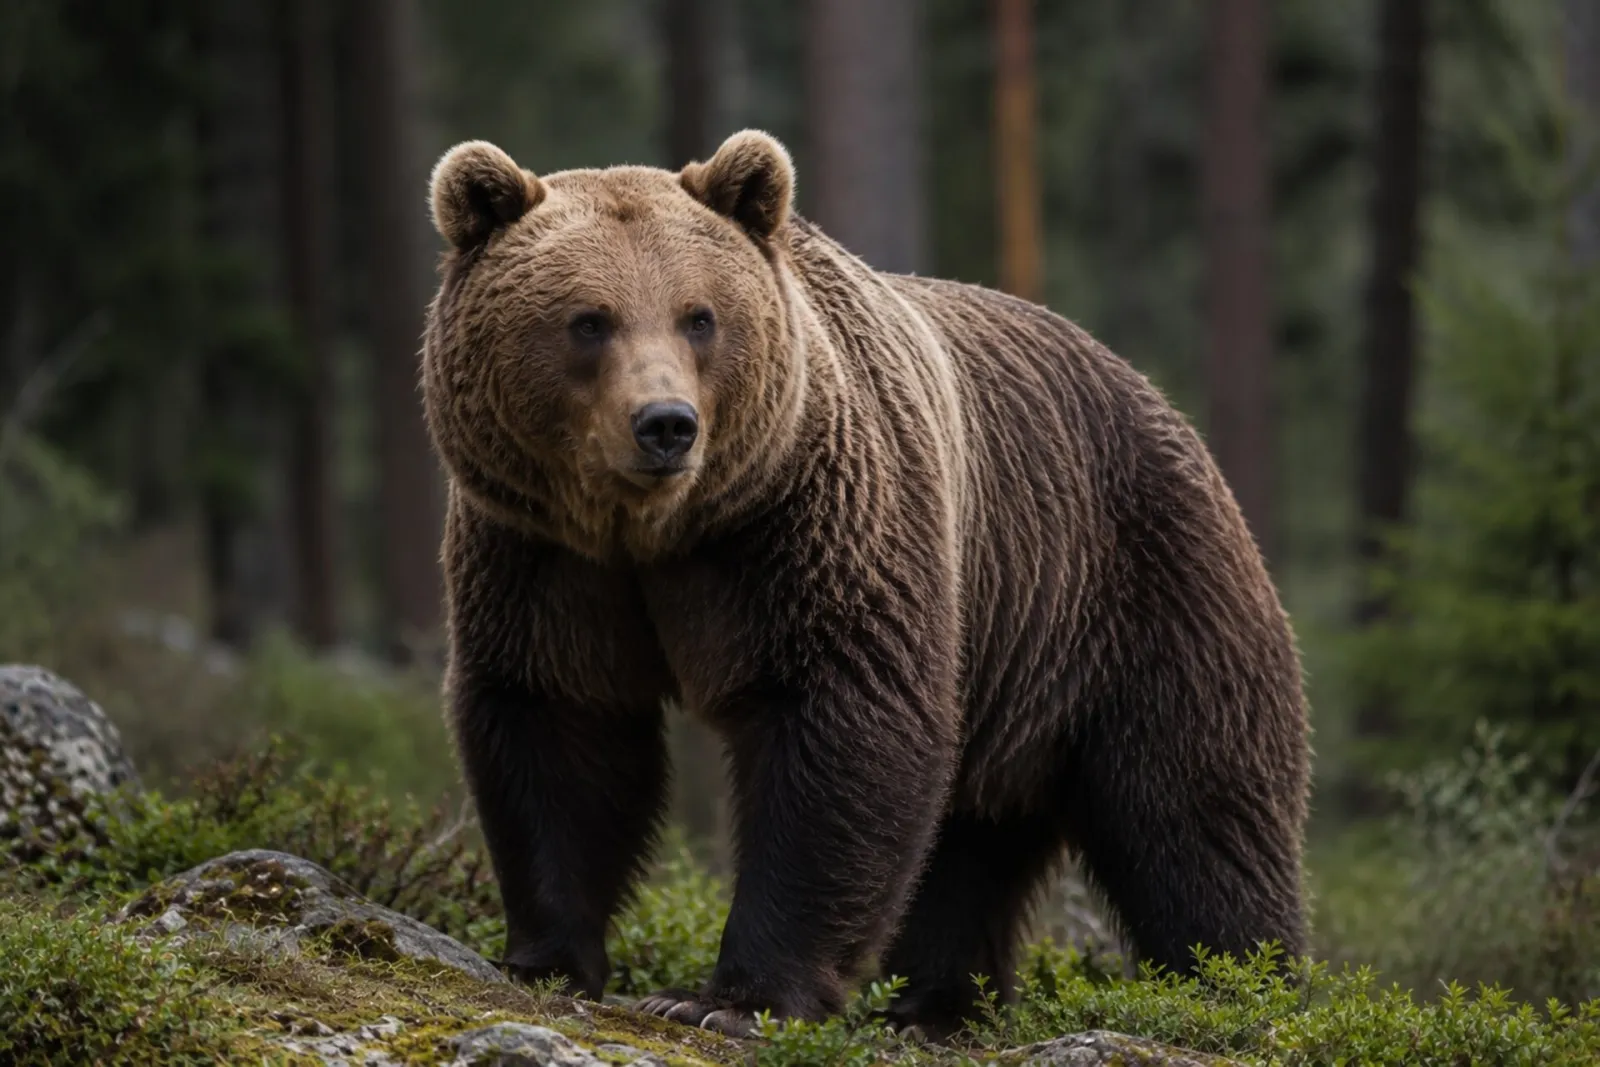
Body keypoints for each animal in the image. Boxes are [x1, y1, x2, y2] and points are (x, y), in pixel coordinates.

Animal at [420, 129, 1311, 1039]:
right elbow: (559, 725)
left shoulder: (810, 525)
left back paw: (1240, 988)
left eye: (699, 316)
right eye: (589, 320)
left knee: (1193, 811)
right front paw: (548, 957)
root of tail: (1168, 410)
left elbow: (844, 724)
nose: (666, 424)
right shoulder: (545, 557)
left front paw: (730, 997)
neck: (662, 530)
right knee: (972, 839)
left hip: (1142, 585)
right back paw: (934, 1003)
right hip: (1010, 662)